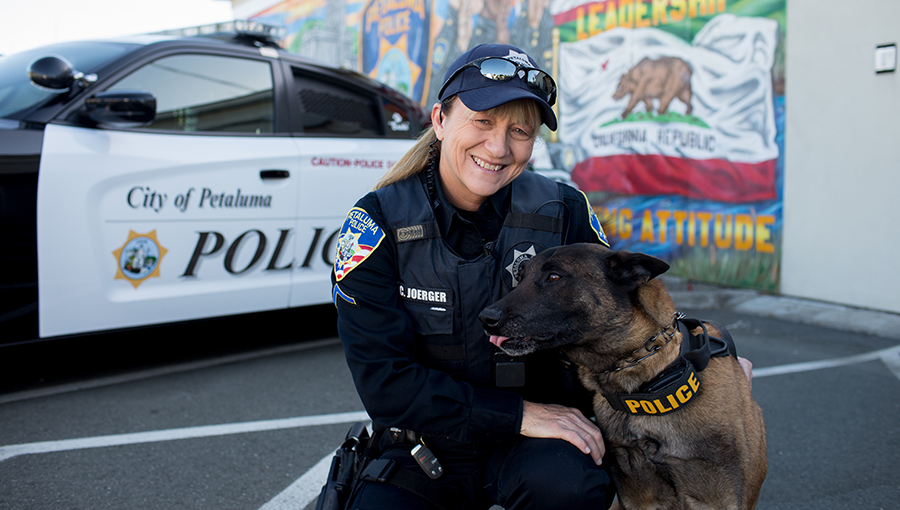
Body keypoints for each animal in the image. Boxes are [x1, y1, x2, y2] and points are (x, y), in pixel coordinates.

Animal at [478, 245, 768, 508]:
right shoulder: (638, 498)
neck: (647, 385)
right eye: (521, 276)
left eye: (554, 277)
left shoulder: (722, 499)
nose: (486, 318)